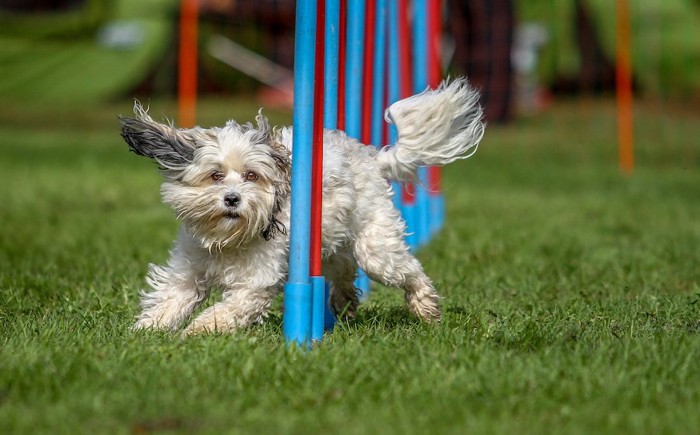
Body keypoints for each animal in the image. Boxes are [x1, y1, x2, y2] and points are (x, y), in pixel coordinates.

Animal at [119, 77, 482, 334]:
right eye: (215, 175)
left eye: (251, 175)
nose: (233, 198)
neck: (230, 239)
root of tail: (373, 158)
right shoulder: (188, 270)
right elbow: (171, 298)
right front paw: (147, 332)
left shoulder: (256, 284)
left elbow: (230, 309)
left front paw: (197, 331)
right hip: (330, 242)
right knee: (344, 270)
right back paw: (344, 302)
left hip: (376, 248)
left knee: (407, 271)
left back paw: (426, 308)